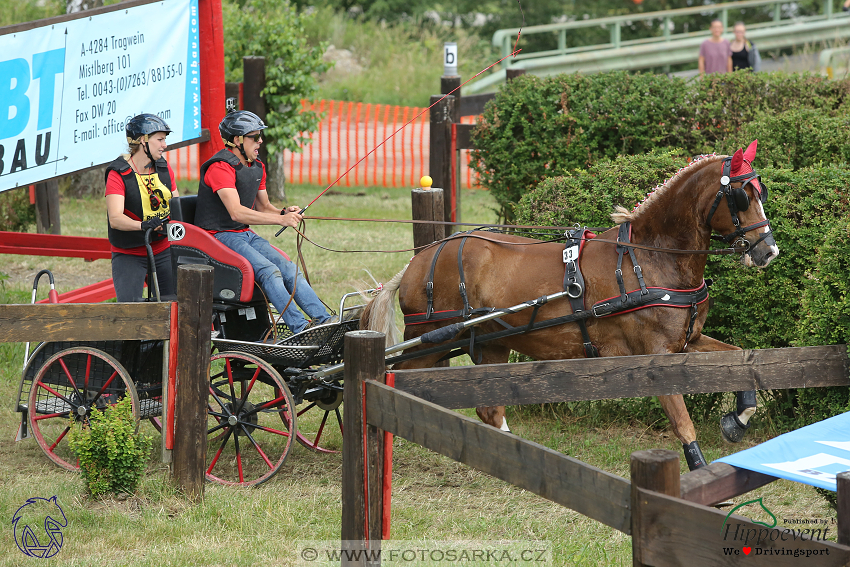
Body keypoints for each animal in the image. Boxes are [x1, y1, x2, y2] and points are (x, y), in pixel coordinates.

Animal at [358, 142, 776, 470]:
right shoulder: (655, 356)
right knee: (391, 381)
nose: (768, 251)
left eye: (762, 193)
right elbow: (682, 422)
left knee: (489, 409)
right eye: (742, 196)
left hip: (491, 344)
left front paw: (738, 418)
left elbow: (742, 358)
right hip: (431, 339)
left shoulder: (688, 341)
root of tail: (418, 261)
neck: (650, 256)